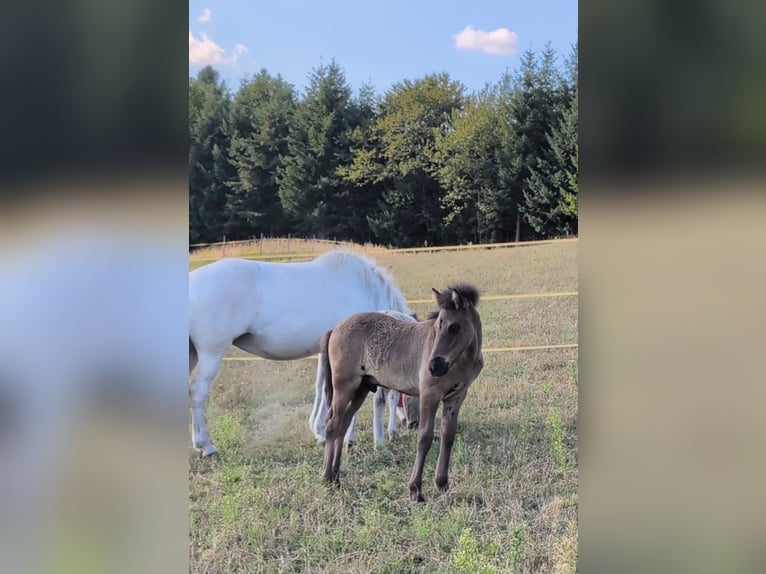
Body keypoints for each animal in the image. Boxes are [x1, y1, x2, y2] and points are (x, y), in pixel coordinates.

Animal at [321, 284, 484, 503]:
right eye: (438, 326)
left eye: (454, 327)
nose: (434, 366)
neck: (461, 363)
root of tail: (334, 328)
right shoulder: (429, 394)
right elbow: (424, 437)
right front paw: (416, 491)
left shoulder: (456, 397)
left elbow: (448, 435)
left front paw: (442, 484)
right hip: (344, 386)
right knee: (333, 425)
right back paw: (327, 477)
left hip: (360, 389)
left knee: (343, 424)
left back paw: (337, 476)